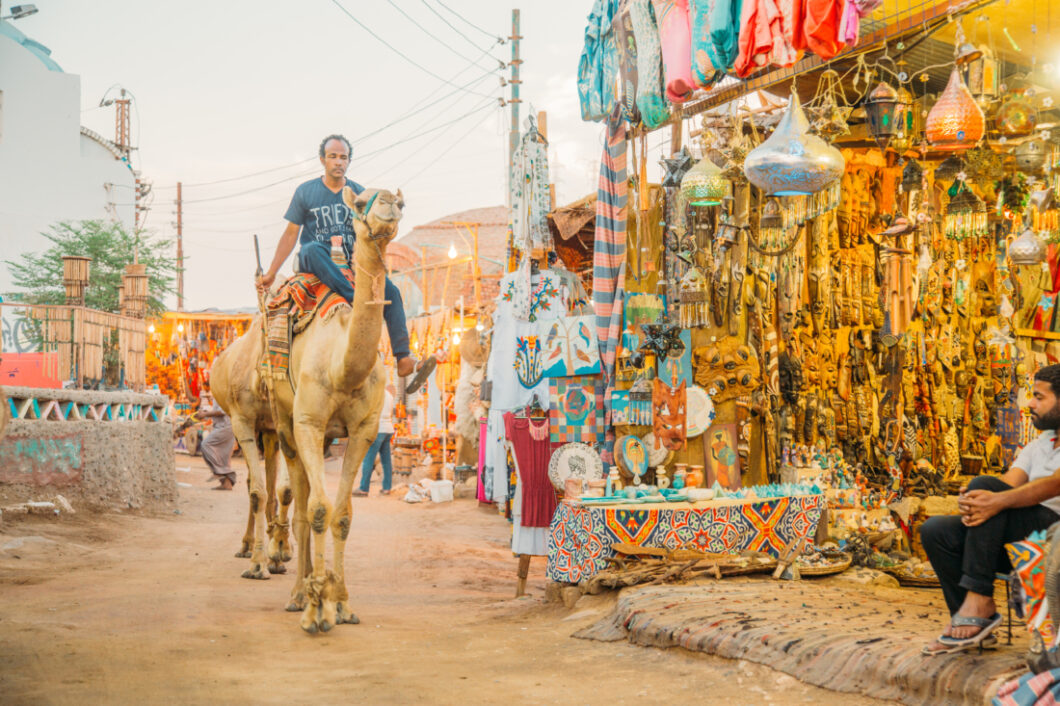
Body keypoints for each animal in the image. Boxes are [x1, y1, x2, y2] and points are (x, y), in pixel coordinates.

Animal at [210, 324, 294, 576]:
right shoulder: (242, 421)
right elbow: (257, 492)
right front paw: (258, 564)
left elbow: (285, 490)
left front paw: (279, 552)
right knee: (253, 484)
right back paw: (247, 546)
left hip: (270, 431)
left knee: (271, 482)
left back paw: (277, 550)